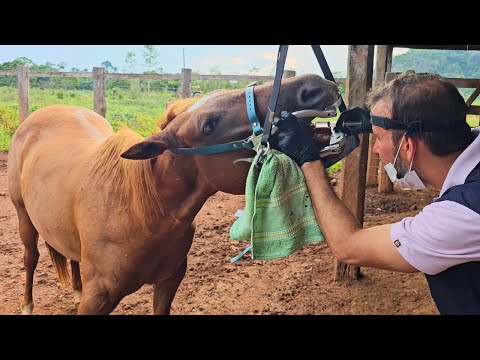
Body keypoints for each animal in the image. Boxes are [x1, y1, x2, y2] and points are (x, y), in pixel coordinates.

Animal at [6, 74, 338, 316]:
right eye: (208, 125)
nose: (313, 86)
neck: (143, 213)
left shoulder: (169, 282)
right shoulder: (97, 300)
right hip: (24, 219)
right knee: (30, 258)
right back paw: (27, 306)